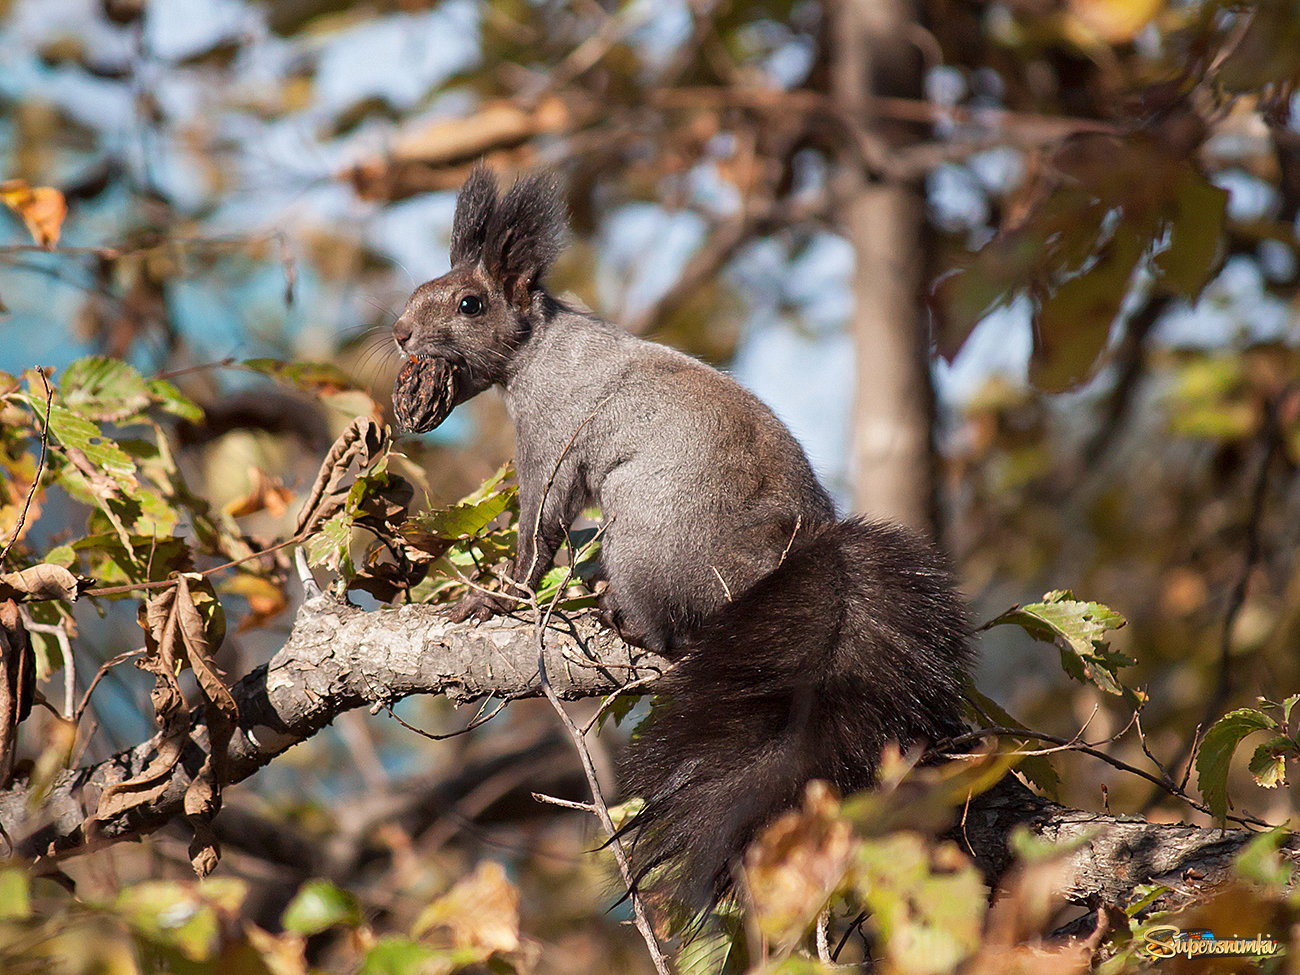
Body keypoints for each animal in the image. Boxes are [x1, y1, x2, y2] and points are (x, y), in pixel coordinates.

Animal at [390, 166, 972, 915]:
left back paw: (624, 619)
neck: (539, 347)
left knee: (675, 631)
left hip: (643, 536)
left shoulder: (552, 437)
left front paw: (491, 600)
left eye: (469, 303)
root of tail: (785, 558)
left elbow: (538, 533)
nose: (400, 332)